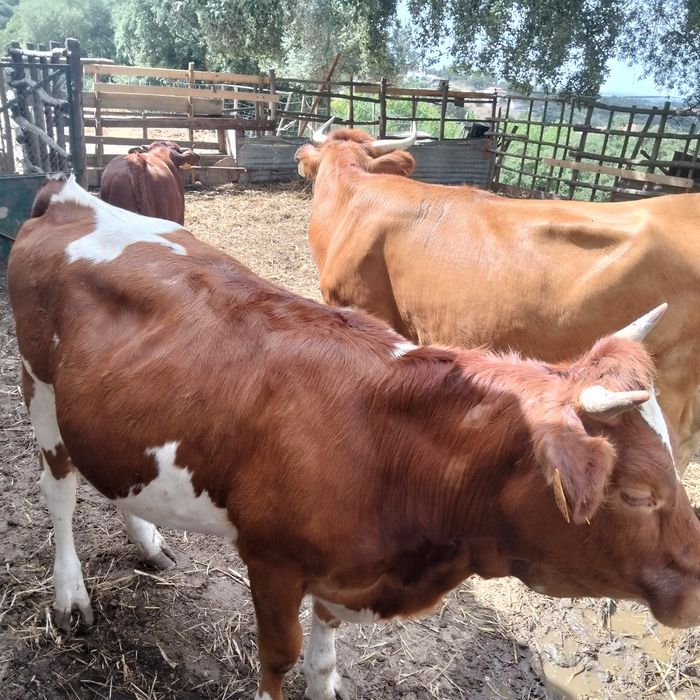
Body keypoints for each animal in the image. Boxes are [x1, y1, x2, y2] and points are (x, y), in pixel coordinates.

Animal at [9, 175, 700, 700]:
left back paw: (149, 542)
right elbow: (280, 659)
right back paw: (70, 597)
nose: (698, 591)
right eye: (636, 493)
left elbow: (324, 651)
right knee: (59, 492)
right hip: (38, 389)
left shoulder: (345, 570)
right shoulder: (272, 561)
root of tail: (70, 195)